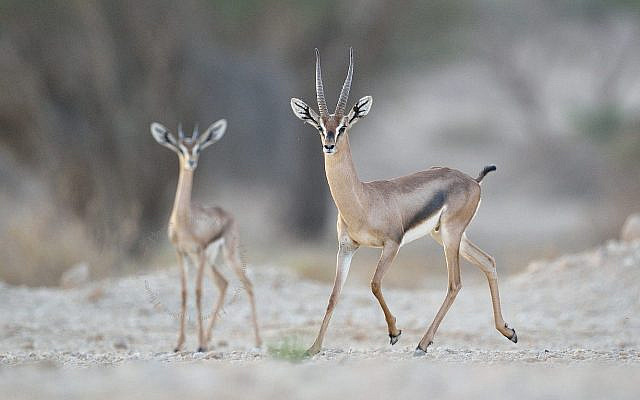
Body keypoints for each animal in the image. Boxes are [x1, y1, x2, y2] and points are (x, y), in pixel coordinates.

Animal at [150, 121, 262, 352]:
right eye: (181, 148)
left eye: (199, 148)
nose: (191, 162)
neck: (185, 221)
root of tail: (228, 213)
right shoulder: (181, 253)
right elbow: (184, 293)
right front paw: (179, 344)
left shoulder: (200, 251)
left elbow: (198, 292)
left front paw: (199, 344)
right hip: (203, 260)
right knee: (223, 283)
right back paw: (209, 338)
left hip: (227, 256)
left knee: (247, 284)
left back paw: (257, 341)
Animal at [290, 48, 517, 356]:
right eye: (319, 126)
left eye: (344, 126)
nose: (329, 145)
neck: (363, 200)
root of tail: (473, 180)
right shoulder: (346, 247)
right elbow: (333, 296)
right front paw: (313, 348)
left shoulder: (392, 244)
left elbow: (374, 284)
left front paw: (395, 333)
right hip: (444, 235)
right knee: (489, 262)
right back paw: (508, 331)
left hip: (450, 236)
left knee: (455, 283)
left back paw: (422, 344)